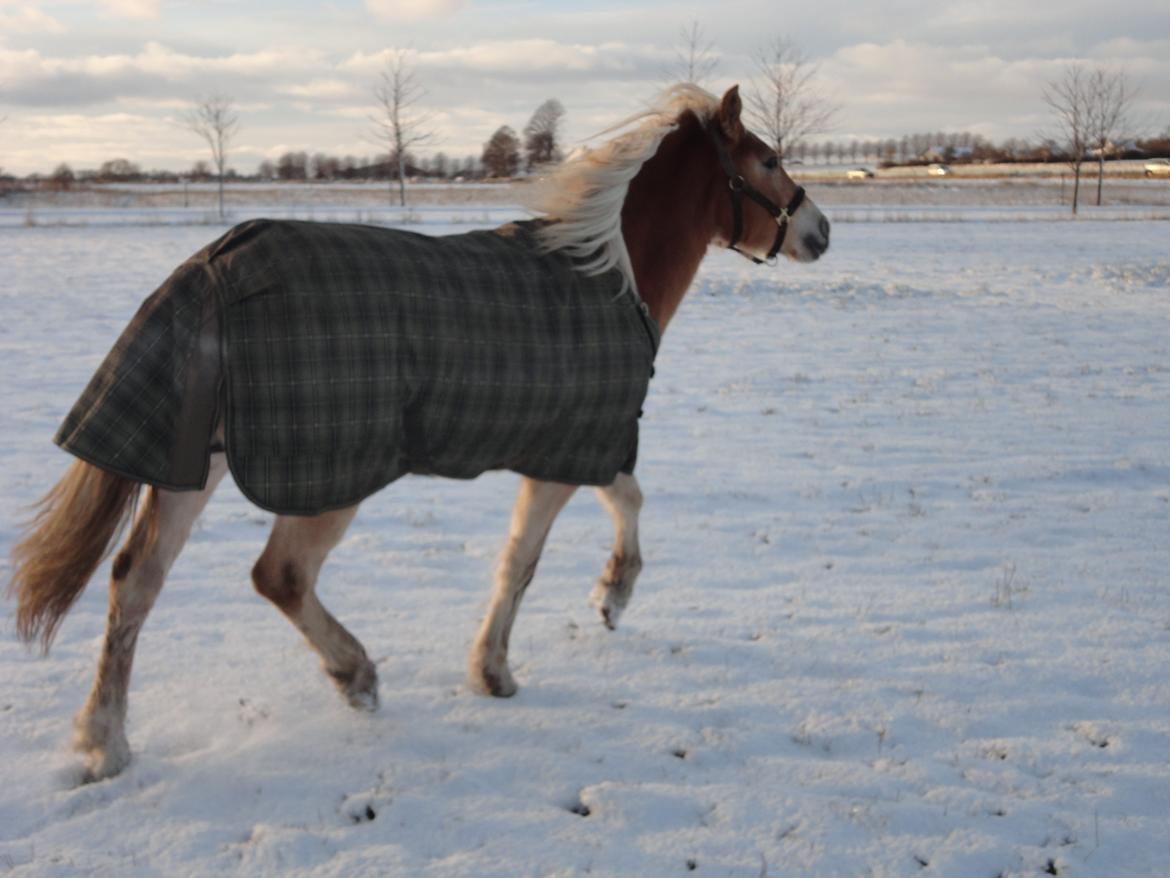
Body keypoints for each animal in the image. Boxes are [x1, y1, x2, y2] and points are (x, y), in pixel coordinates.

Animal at [11, 84, 833, 782]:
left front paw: (607, 598)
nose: (820, 231)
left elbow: (619, 501)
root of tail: (213, 264)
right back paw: (355, 677)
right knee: (279, 575)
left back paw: (104, 743)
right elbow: (529, 558)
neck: (609, 275)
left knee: (135, 581)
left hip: (197, 464)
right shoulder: (565, 456)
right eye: (768, 159)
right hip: (325, 481)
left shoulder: (575, 444)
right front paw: (515, 658)